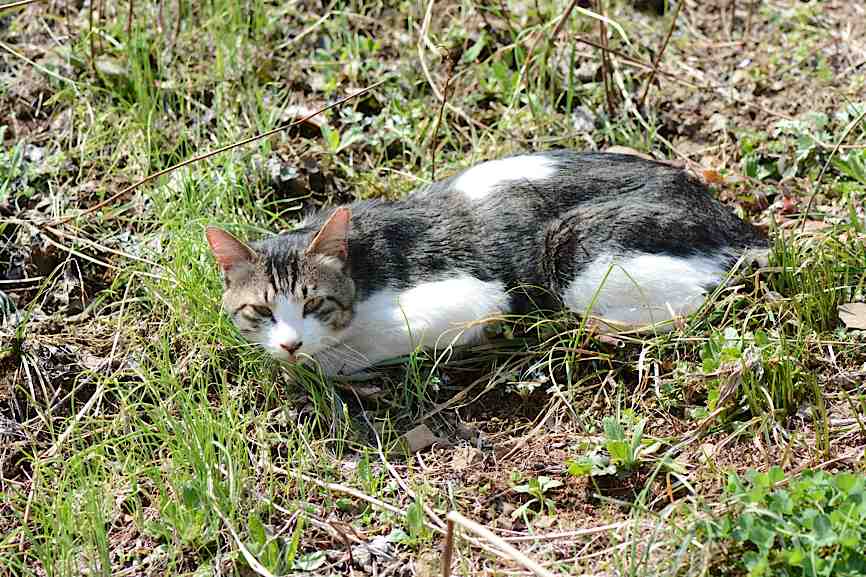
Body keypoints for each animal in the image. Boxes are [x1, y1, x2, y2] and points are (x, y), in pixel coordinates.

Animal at [208, 148, 764, 376]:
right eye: (261, 311)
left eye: (314, 304)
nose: (290, 343)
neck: (362, 271)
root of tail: (740, 226)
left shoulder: (473, 297)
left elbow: (345, 354)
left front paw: (320, 362)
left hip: (572, 249)